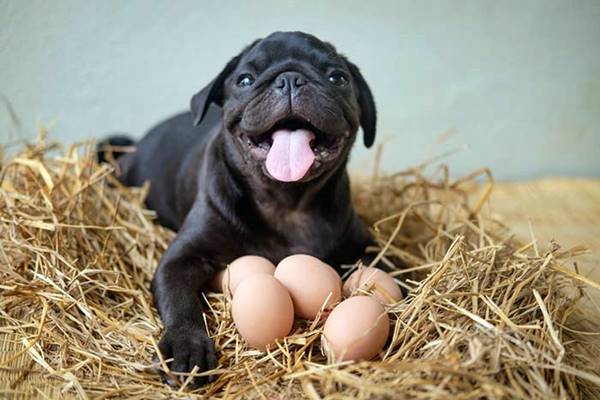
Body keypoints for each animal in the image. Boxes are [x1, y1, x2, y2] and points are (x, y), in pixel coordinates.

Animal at [101, 29, 378, 386]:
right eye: (245, 80)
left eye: (337, 78)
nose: (290, 79)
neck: (286, 201)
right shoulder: (180, 261)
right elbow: (181, 302)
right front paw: (185, 347)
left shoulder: (365, 246)